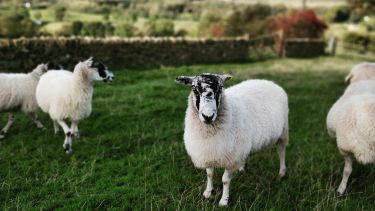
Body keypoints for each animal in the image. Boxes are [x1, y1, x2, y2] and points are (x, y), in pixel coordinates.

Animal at [176, 73, 290, 206]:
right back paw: (242, 168)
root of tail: (269, 82)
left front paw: (224, 200)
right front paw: (208, 192)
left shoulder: (231, 156)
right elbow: (209, 174)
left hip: (283, 130)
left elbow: (225, 180)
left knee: (281, 151)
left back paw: (282, 172)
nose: (208, 116)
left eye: (220, 88)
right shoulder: (208, 150)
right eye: (194, 88)